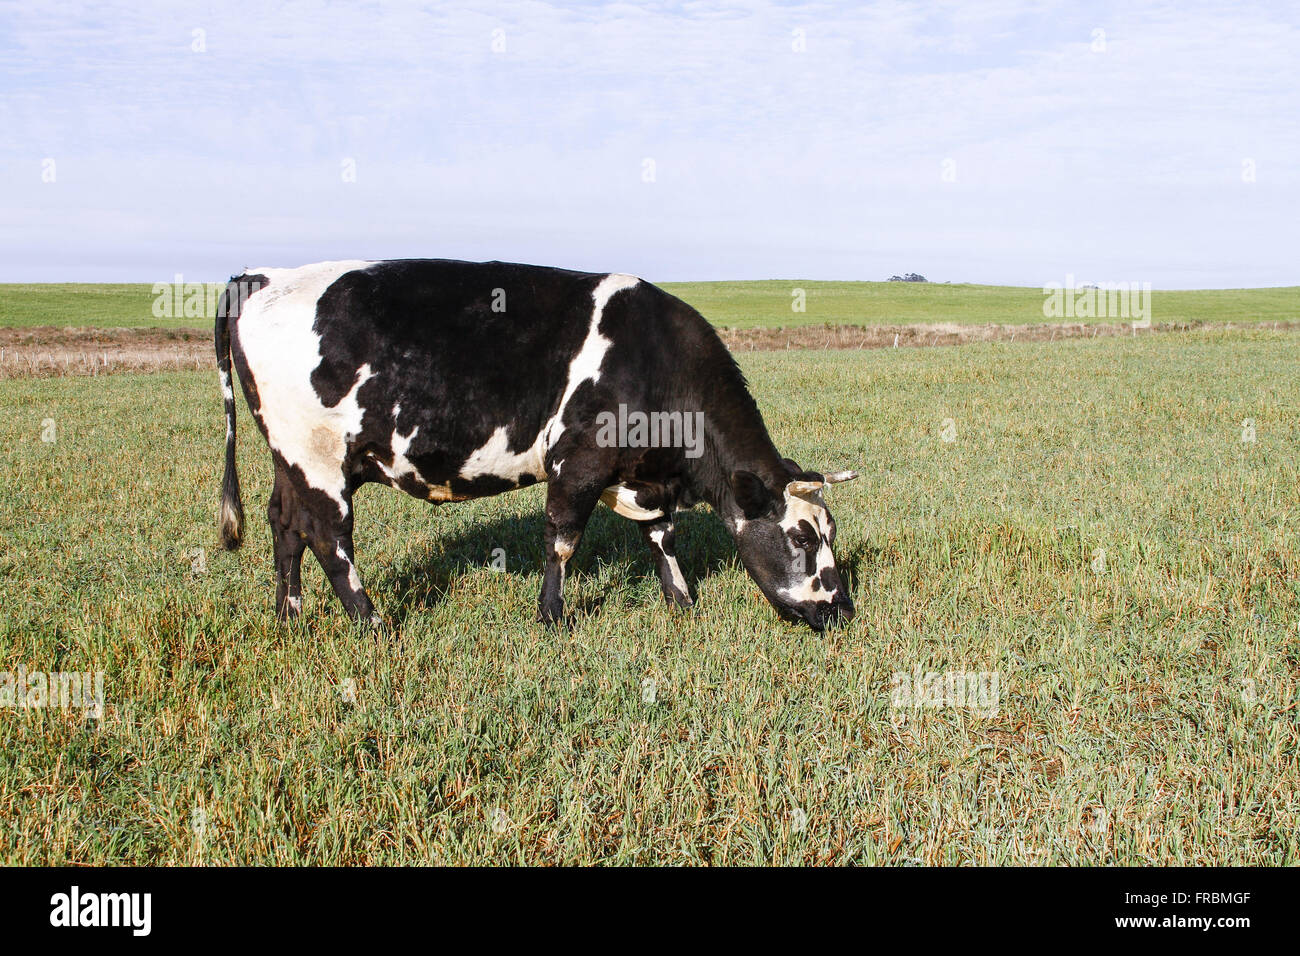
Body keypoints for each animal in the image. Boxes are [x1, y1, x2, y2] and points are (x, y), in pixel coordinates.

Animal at [214, 259, 859, 630]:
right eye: (802, 537)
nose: (841, 611)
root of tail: (263, 274)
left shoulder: (643, 476)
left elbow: (661, 535)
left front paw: (681, 601)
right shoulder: (578, 462)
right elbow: (562, 541)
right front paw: (552, 616)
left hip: (289, 457)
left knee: (284, 524)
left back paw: (289, 617)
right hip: (318, 456)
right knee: (328, 537)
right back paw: (372, 623)